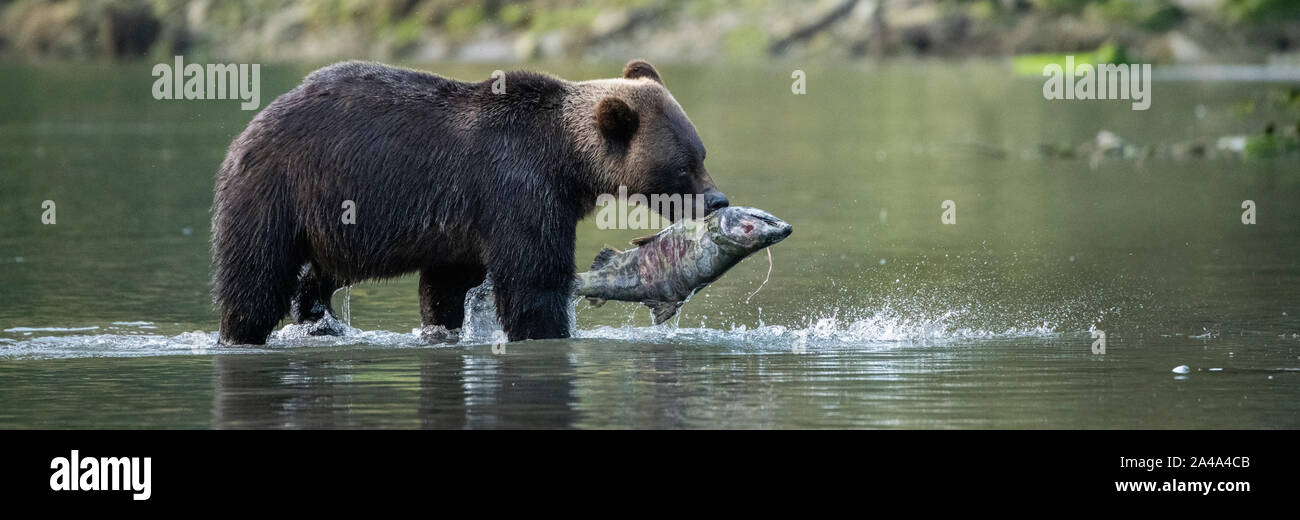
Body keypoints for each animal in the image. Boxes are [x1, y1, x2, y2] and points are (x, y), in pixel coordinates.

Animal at [208, 59, 728, 345]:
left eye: (701, 153)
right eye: (682, 167)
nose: (718, 201)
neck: (566, 162)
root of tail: (250, 127)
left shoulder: (461, 225)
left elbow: (445, 287)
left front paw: (444, 327)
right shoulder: (516, 188)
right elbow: (533, 278)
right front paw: (547, 329)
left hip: (330, 226)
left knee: (316, 277)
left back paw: (318, 321)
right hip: (280, 191)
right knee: (254, 277)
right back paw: (241, 332)